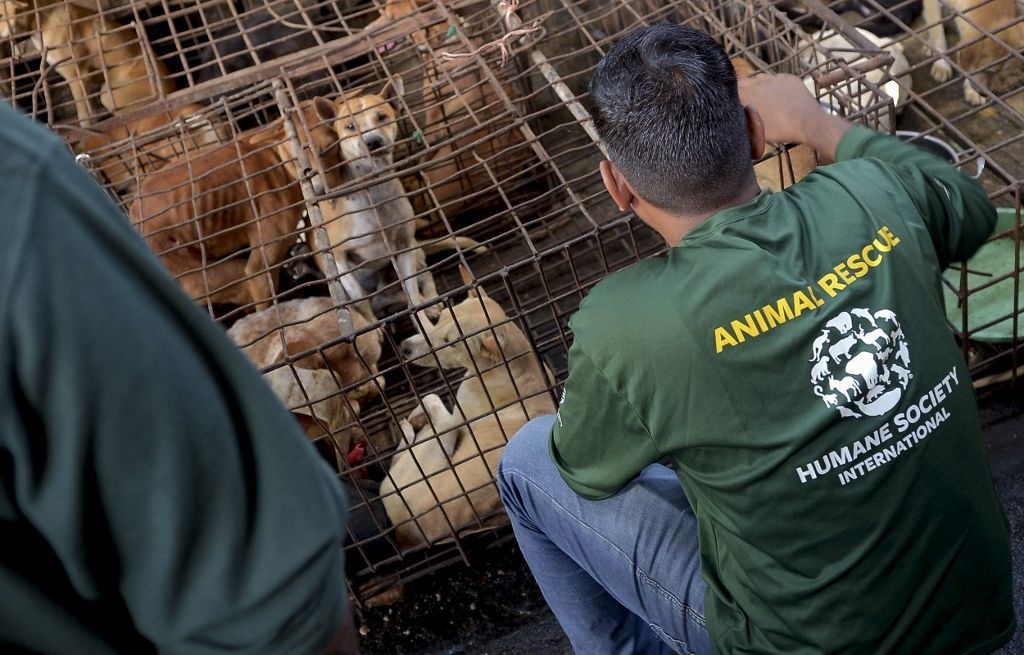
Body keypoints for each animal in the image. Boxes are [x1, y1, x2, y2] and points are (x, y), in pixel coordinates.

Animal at [0, 0, 174, 125]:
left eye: (0, 15)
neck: (40, 21)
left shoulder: (77, 76)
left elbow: (84, 116)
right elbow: (90, 110)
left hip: (107, 95)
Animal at [382, 276, 557, 548]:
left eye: (451, 343)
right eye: (442, 315)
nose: (404, 347)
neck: (512, 367)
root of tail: (404, 529)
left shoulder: (456, 415)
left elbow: (431, 399)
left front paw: (417, 416)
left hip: (425, 452)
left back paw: (409, 428)